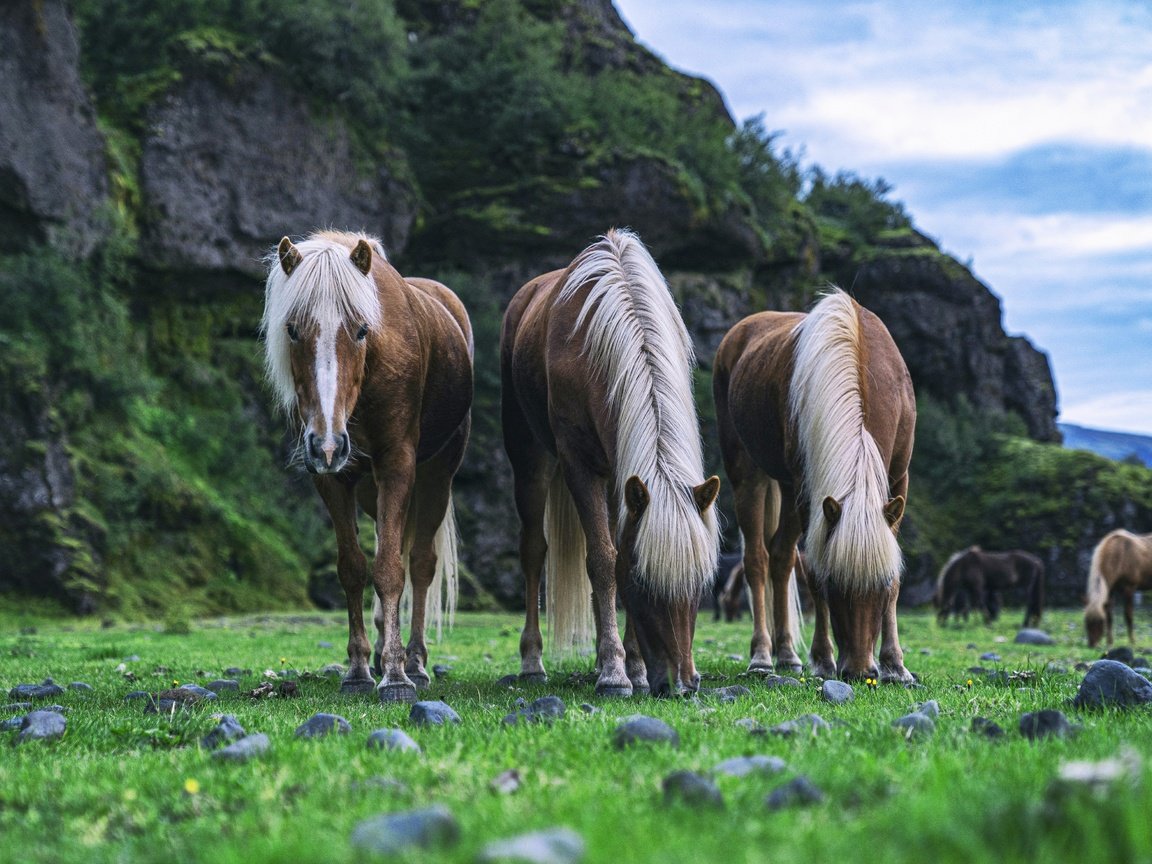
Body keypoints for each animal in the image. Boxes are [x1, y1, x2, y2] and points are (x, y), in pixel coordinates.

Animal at [262, 230, 472, 705]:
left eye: (361, 329)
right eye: (292, 329)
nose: (327, 443)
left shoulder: (397, 463)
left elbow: (392, 570)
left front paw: (396, 676)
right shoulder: (333, 478)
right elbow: (354, 569)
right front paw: (359, 669)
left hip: (437, 475)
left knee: (421, 564)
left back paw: (415, 661)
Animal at [499, 228, 714, 695]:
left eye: (700, 584)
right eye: (643, 584)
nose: (683, 683)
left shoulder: (625, 478)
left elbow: (616, 551)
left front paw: (632, 666)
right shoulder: (579, 464)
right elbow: (603, 559)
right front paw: (615, 673)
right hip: (529, 457)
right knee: (533, 550)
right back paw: (533, 663)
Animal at [709, 289, 916, 681]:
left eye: (880, 585)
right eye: (835, 585)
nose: (860, 671)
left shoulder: (899, 479)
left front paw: (895, 664)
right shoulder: (810, 494)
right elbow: (813, 570)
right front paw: (822, 659)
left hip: (786, 489)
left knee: (781, 558)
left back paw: (788, 654)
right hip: (749, 475)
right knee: (757, 560)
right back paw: (762, 656)